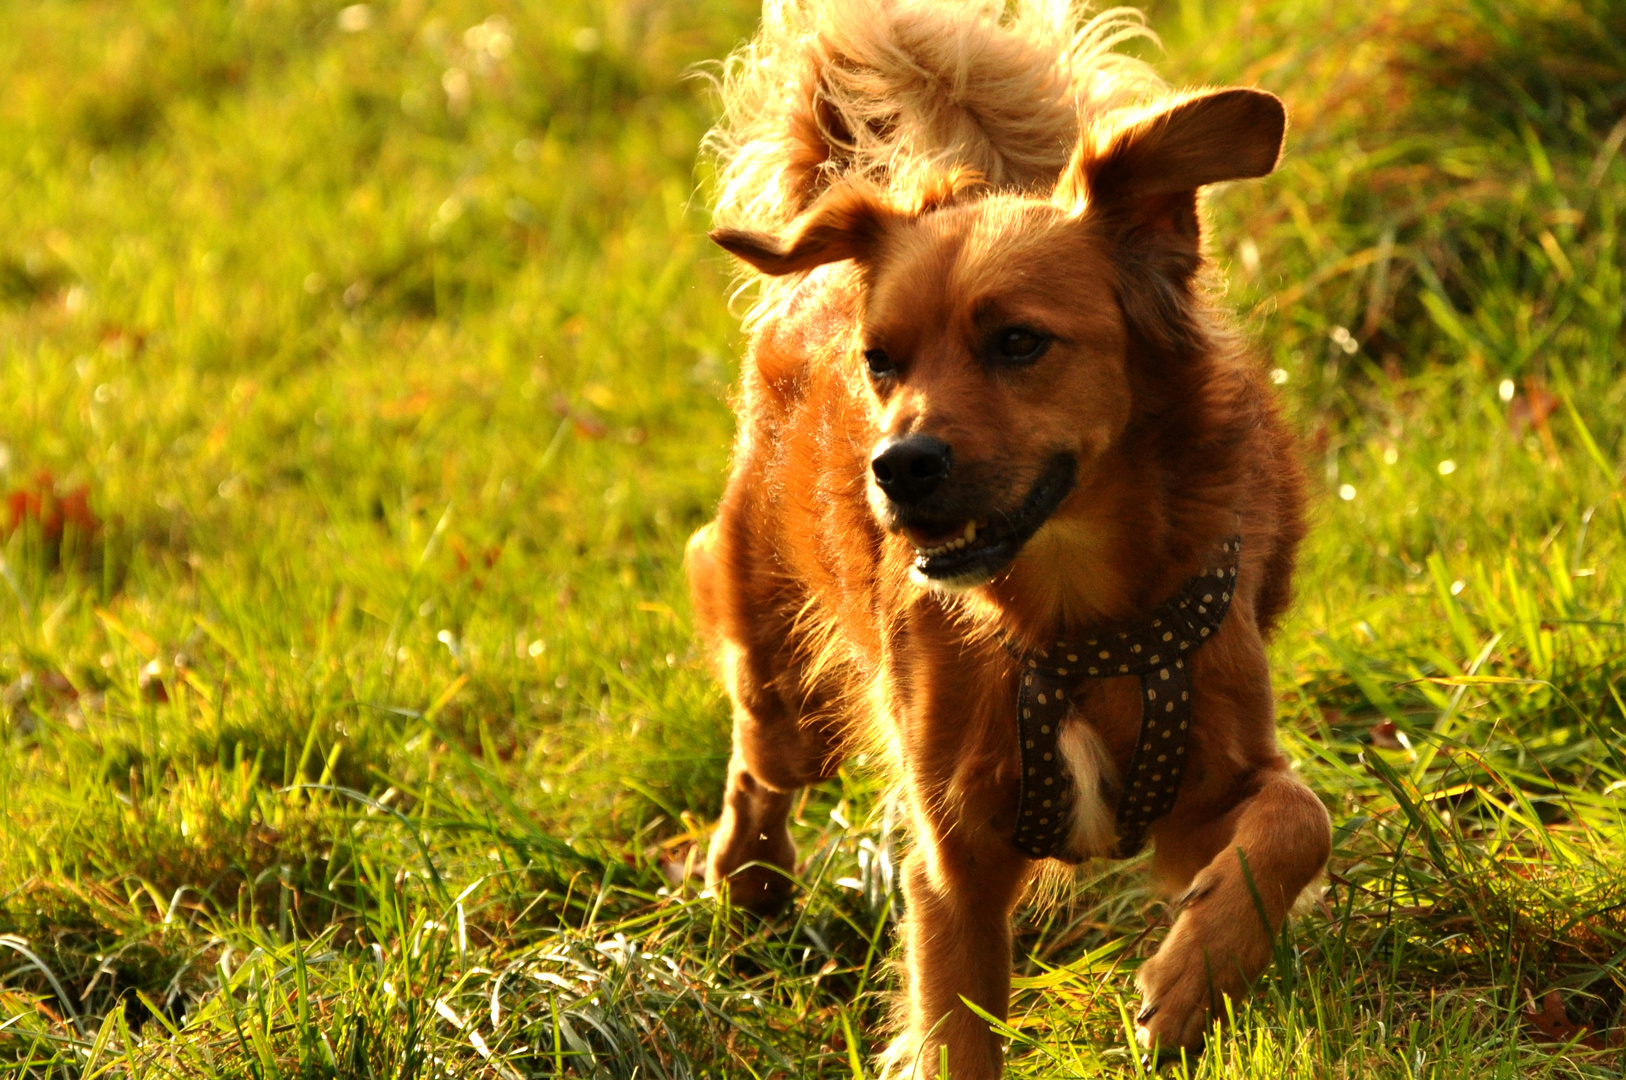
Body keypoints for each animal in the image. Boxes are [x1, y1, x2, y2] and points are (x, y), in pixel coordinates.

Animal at [686, 4, 1333, 1073]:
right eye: (882, 361)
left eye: (1020, 342)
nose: (896, 466)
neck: (1072, 621)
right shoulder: (956, 863)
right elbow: (955, 1032)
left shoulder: (1207, 794)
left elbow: (1298, 820)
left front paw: (1192, 978)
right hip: (791, 685)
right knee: (758, 757)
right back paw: (748, 879)